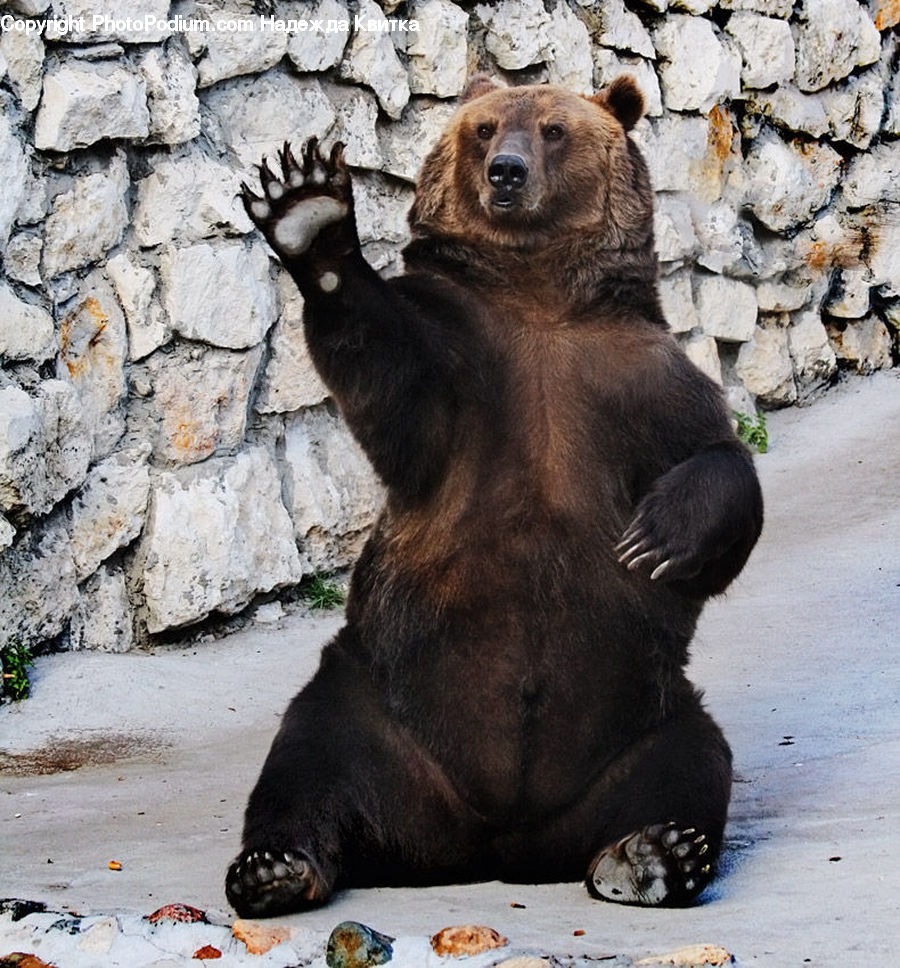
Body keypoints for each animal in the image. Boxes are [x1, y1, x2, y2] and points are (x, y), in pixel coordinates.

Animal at [229, 75, 764, 916]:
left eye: (552, 129)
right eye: (483, 129)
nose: (505, 172)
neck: (536, 300)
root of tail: (493, 842)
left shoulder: (636, 375)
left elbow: (719, 456)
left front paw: (656, 538)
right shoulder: (465, 364)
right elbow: (398, 392)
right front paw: (307, 210)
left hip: (644, 716)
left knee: (693, 763)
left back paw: (652, 854)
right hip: (375, 696)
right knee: (308, 757)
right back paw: (275, 868)